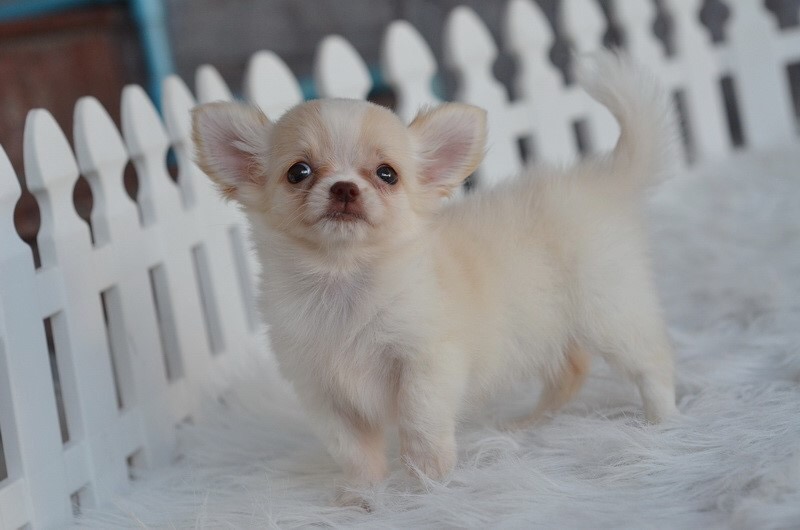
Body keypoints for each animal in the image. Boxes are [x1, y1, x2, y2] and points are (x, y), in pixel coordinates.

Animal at [192, 51, 679, 505]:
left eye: (386, 174)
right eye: (299, 172)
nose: (345, 188)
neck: (341, 278)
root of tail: (602, 181)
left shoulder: (425, 366)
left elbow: (420, 426)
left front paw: (428, 487)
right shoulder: (321, 391)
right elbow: (353, 451)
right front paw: (362, 497)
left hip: (609, 312)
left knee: (651, 363)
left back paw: (663, 424)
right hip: (546, 327)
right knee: (572, 370)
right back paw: (528, 422)